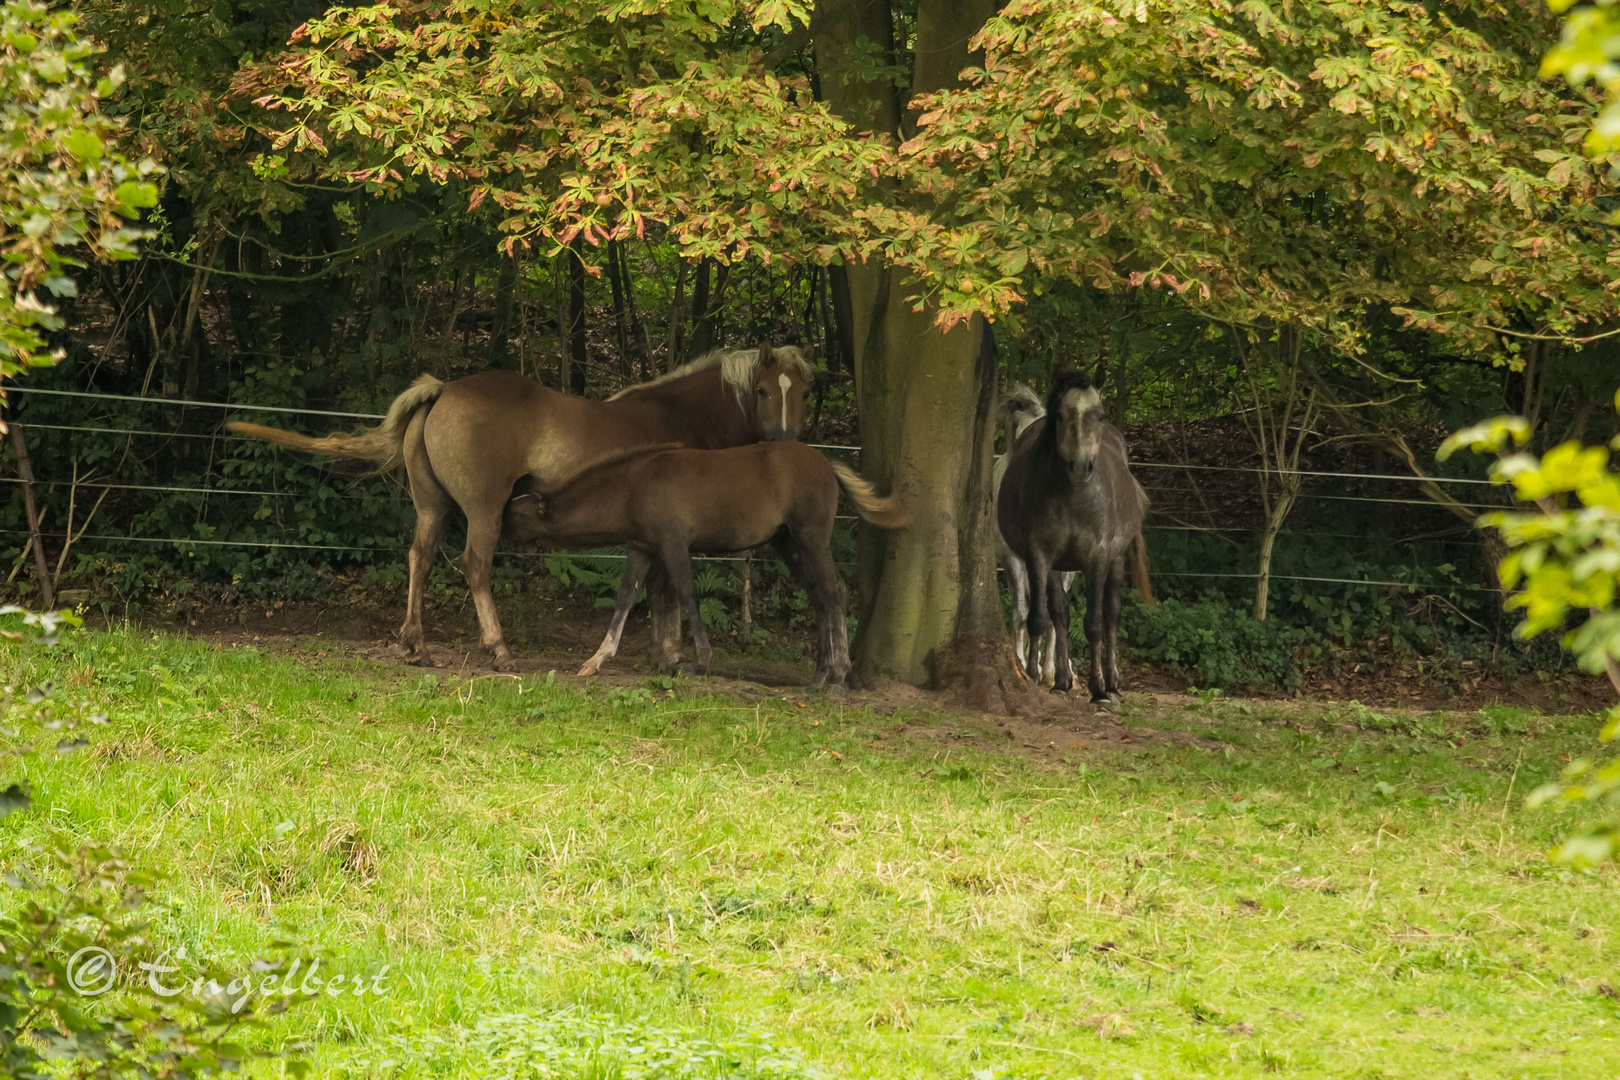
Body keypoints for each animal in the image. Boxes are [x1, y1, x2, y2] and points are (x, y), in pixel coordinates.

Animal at [226, 346, 810, 667]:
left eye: (801, 391)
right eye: (762, 391)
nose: (786, 443)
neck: (678, 416)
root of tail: (444, 389)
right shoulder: (668, 533)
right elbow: (665, 593)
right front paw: (669, 655)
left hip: (433, 509)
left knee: (419, 560)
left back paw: (416, 645)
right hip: (483, 510)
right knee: (476, 566)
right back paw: (499, 649)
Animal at [502, 437, 907, 683]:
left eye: (517, 513)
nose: (499, 534)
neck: (634, 487)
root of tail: (825, 461)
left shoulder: (674, 544)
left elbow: (686, 594)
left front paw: (700, 660)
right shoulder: (642, 547)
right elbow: (625, 597)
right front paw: (596, 659)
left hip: (811, 538)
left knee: (834, 590)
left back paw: (838, 672)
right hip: (788, 543)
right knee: (819, 595)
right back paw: (821, 671)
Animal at [984, 372, 1153, 705]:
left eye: (1099, 415)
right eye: (1059, 418)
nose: (1080, 466)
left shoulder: (1091, 558)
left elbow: (1089, 620)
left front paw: (1084, 681)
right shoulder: (1025, 557)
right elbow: (1033, 613)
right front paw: (1029, 668)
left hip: (1109, 561)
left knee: (1110, 613)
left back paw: (1109, 682)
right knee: (1055, 611)